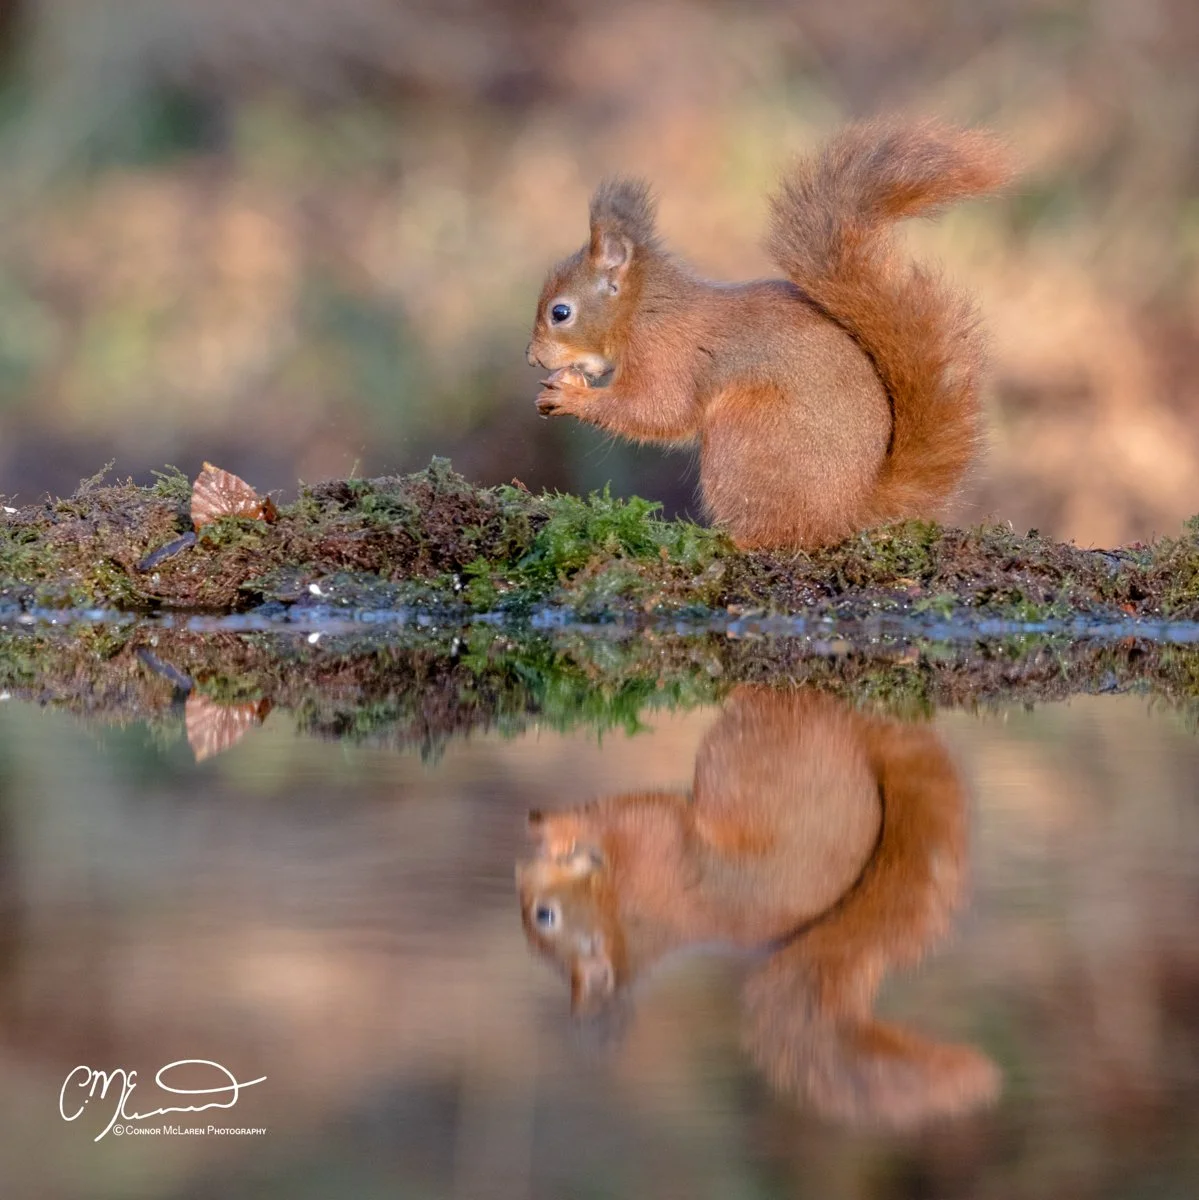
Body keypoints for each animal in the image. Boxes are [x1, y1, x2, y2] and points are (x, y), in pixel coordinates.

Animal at [515, 685, 1000, 1128]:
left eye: (544, 916)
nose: (518, 876)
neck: (626, 915)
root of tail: (861, 749)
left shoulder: (652, 837)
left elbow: (609, 815)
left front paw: (555, 832)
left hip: (753, 743)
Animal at [527, 121, 1012, 550]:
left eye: (560, 313)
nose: (532, 357)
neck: (643, 309)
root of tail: (848, 512)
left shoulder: (668, 353)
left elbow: (659, 410)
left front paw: (572, 396)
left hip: (745, 435)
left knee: (775, 535)